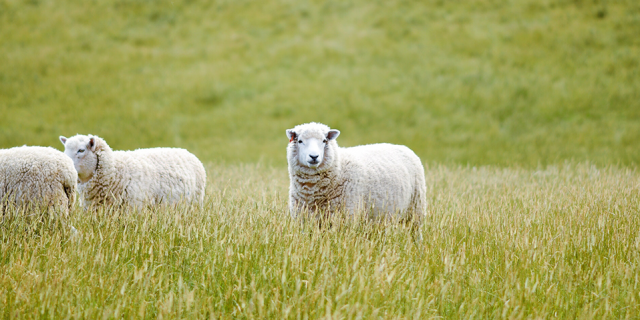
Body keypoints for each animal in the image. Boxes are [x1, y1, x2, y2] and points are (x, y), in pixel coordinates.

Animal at [288, 122, 428, 230]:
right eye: (300, 141)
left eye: (324, 140)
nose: (314, 156)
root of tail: (403, 147)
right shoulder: (304, 220)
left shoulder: (347, 217)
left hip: (416, 209)